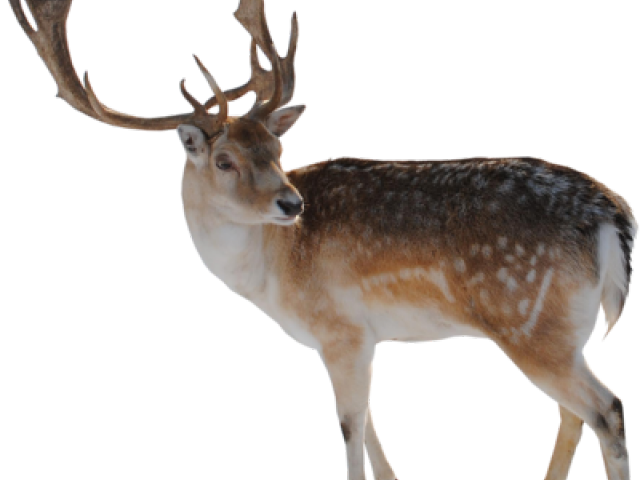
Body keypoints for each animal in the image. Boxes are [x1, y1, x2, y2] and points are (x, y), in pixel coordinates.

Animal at [9, 1, 636, 479]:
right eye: (225, 159)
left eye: (277, 149)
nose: (291, 204)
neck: (272, 274)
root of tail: (612, 215)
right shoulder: (361, 336)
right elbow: (373, 429)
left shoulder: (338, 326)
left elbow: (351, 428)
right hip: (565, 327)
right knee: (573, 415)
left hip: (527, 320)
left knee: (605, 409)